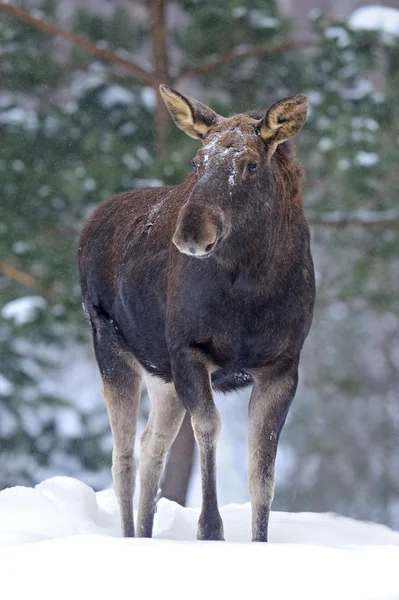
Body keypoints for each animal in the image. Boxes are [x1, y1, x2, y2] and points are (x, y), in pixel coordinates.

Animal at [77, 85, 316, 544]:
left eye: (251, 164)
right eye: (196, 161)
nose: (191, 232)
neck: (252, 293)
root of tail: (90, 223)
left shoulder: (283, 365)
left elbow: (263, 470)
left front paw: (260, 541)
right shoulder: (188, 349)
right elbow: (209, 427)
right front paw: (210, 530)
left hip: (162, 375)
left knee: (152, 444)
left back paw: (147, 534)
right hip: (111, 346)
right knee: (123, 457)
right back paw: (130, 537)